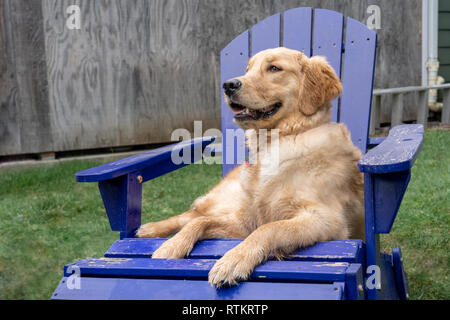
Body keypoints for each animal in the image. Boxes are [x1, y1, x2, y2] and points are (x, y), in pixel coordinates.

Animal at [136, 47, 366, 288]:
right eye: (248, 69)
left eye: (274, 68)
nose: (228, 85)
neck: (278, 140)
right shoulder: (246, 220)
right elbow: (200, 222)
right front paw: (171, 246)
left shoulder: (327, 220)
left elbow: (270, 228)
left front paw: (233, 261)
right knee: (193, 214)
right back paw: (151, 229)